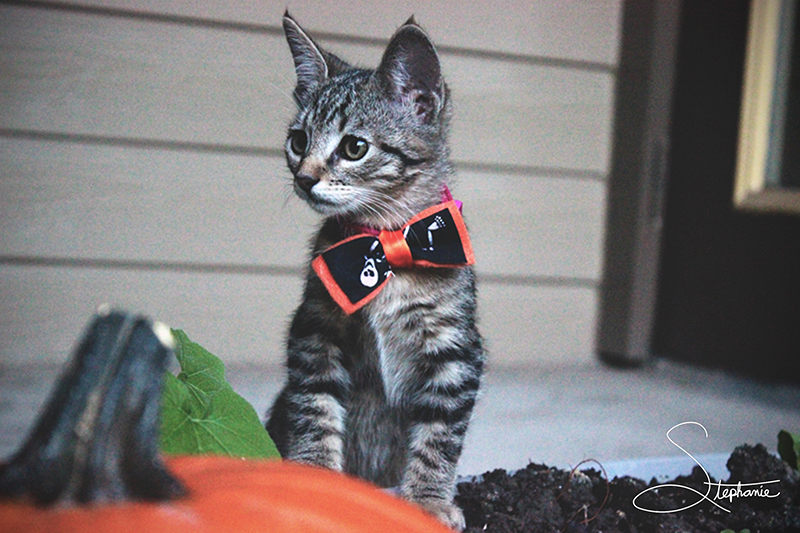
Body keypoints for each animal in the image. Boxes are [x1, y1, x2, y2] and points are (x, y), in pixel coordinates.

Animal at [266, 12, 484, 528]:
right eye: (298, 141)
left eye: (354, 147)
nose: (304, 177)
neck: (387, 242)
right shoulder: (314, 330)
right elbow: (314, 408)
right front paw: (313, 478)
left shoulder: (456, 350)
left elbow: (439, 435)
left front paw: (427, 500)